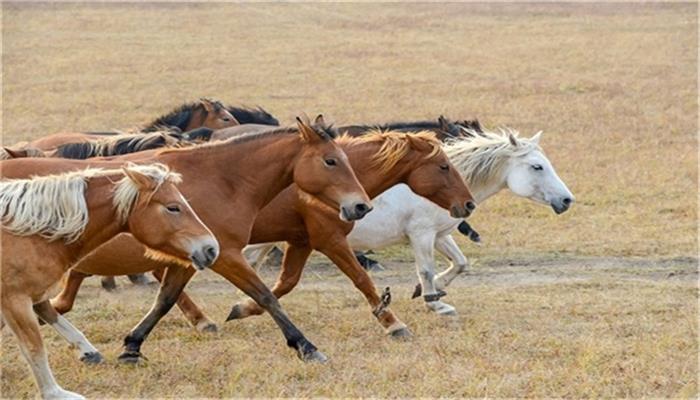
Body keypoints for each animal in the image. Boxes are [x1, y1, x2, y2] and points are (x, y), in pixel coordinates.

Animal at [0, 163, 219, 400]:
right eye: (173, 208)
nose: (211, 248)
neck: (28, 234)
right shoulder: (16, 299)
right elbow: (34, 348)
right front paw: (56, 393)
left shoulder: (35, 296)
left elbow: (59, 320)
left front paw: (89, 353)